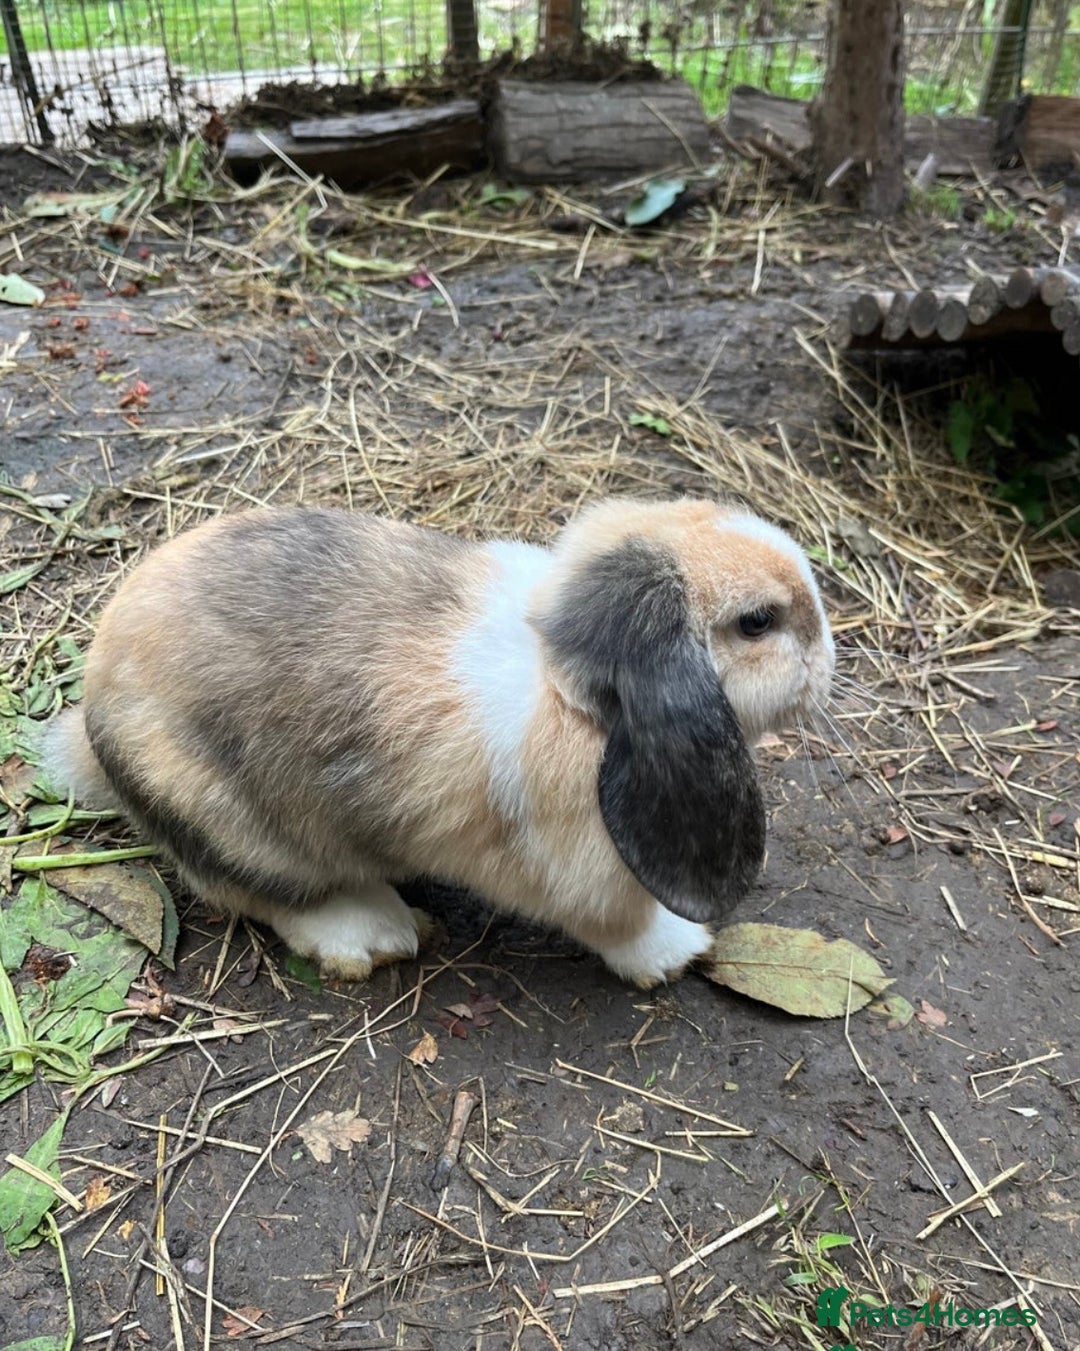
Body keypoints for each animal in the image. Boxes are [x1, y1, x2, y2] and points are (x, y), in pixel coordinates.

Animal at [45, 497, 834, 988]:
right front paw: (678, 951)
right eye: (758, 622)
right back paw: (377, 934)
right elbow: (624, 923)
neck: (568, 691)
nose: (829, 653)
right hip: (236, 828)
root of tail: (92, 722)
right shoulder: (586, 876)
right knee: (268, 894)